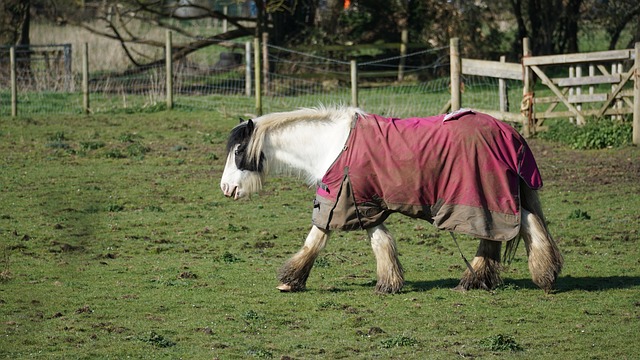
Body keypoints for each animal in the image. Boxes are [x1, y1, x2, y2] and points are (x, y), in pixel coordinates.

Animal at [221, 105, 564, 294]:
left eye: (238, 151)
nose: (226, 188)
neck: (332, 146)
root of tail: (511, 134)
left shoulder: (340, 203)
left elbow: (315, 240)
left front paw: (290, 281)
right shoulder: (364, 204)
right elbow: (380, 241)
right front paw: (390, 282)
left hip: (490, 196)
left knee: (524, 225)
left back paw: (542, 275)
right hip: (488, 201)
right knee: (499, 234)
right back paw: (478, 278)